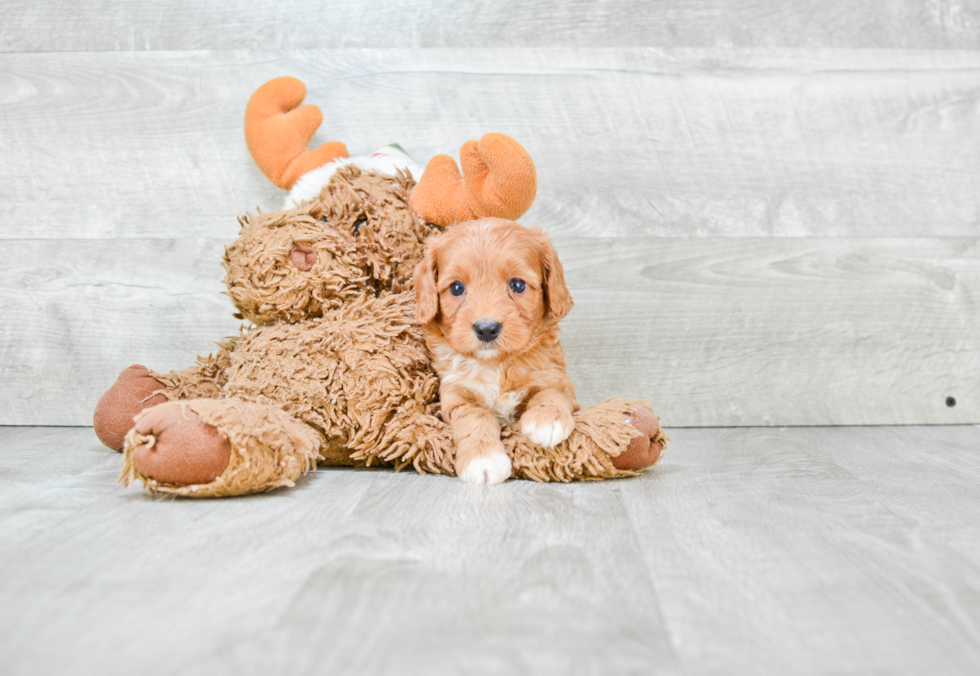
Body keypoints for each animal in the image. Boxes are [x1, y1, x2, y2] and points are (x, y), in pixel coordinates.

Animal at [416, 219, 580, 484]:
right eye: (456, 288)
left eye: (517, 284)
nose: (486, 329)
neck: (496, 364)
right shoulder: (456, 394)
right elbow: (474, 418)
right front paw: (483, 458)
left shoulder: (555, 376)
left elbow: (552, 393)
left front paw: (546, 420)